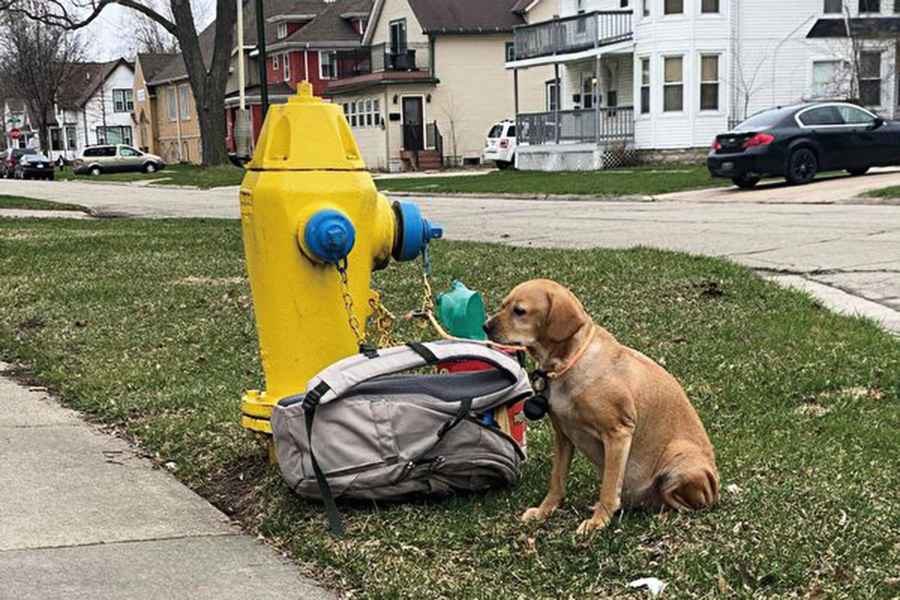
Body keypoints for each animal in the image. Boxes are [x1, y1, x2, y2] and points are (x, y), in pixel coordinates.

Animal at [486, 278, 716, 536]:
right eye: (504, 305)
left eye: (520, 311)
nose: (485, 326)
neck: (567, 363)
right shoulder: (563, 435)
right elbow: (557, 481)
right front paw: (544, 511)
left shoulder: (618, 433)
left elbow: (608, 488)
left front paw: (598, 521)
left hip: (679, 459)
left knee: (685, 505)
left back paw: (663, 515)